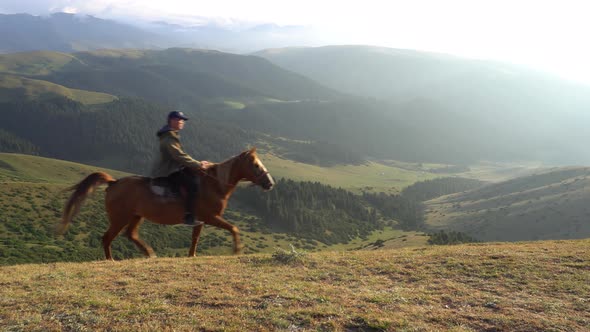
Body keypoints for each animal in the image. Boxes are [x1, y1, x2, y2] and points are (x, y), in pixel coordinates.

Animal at [57, 147, 276, 260]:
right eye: (255, 165)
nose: (270, 183)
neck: (214, 184)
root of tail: (113, 183)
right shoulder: (211, 217)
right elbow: (233, 228)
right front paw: (237, 250)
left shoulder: (201, 220)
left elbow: (195, 238)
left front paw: (191, 256)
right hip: (120, 218)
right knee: (107, 238)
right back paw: (111, 260)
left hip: (136, 216)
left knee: (130, 235)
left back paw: (149, 253)